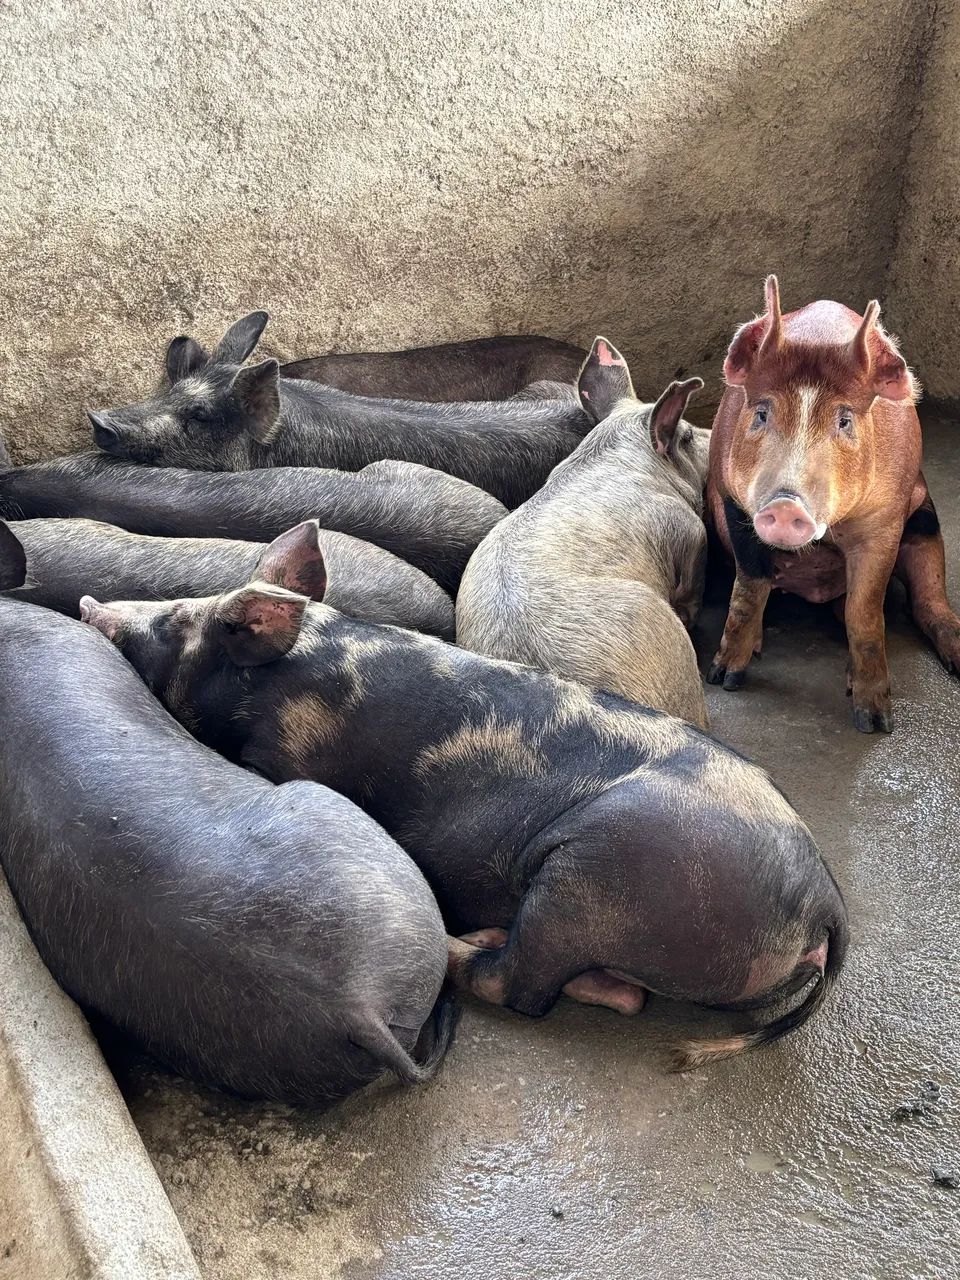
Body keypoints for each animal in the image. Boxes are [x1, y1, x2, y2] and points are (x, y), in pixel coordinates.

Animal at [83, 523, 849, 1070]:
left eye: (176, 623)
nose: (93, 606)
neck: (288, 674)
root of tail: (823, 901)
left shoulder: (282, 756)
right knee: (620, 994)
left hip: (592, 878)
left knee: (518, 987)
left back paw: (470, 943)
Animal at [708, 275, 960, 732]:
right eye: (761, 414)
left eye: (844, 421)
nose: (786, 504)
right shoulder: (732, 501)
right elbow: (749, 588)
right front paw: (724, 678)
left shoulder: (885, 520)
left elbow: (866, 611)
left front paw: (874, 723)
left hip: (925, 520)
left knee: (925, 599)